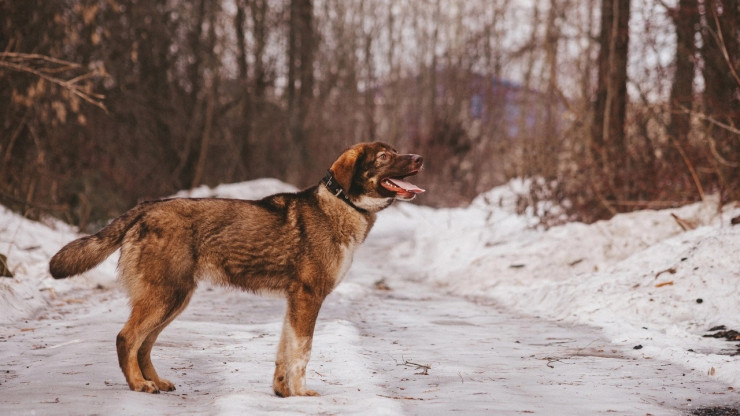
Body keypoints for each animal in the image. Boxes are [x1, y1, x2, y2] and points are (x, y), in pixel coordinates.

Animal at [49, 142, 424, 396]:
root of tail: (145, 208)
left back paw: (153, 380)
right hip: (164, 297)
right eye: (384, 157)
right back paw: (138, 385)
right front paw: (302, 394)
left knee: (143, 345)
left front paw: (283, 392)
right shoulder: (308, 297)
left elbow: (285, 351)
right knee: (126, 338)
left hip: (174, 300)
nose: (420, 158)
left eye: (395, 151)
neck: (342, 205)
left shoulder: (294, 302)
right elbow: (302, 352)